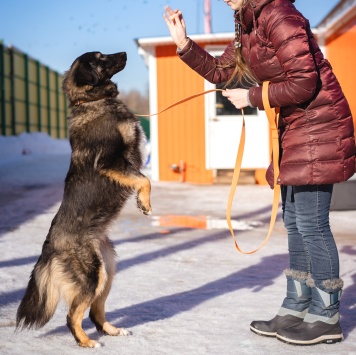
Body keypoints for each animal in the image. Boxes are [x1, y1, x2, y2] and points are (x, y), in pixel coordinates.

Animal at [16, 51, 152, 350]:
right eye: (100, 58)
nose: (124, 53)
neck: (91, 101)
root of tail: (49, 247)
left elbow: (142, 177)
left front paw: (142, 201)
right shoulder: (110, 161)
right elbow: (144, 178)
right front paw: (145, 203)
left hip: (107, 271)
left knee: (94, 312)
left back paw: (112, 331)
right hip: (90, 276)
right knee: (72, 315)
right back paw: (86, 342)